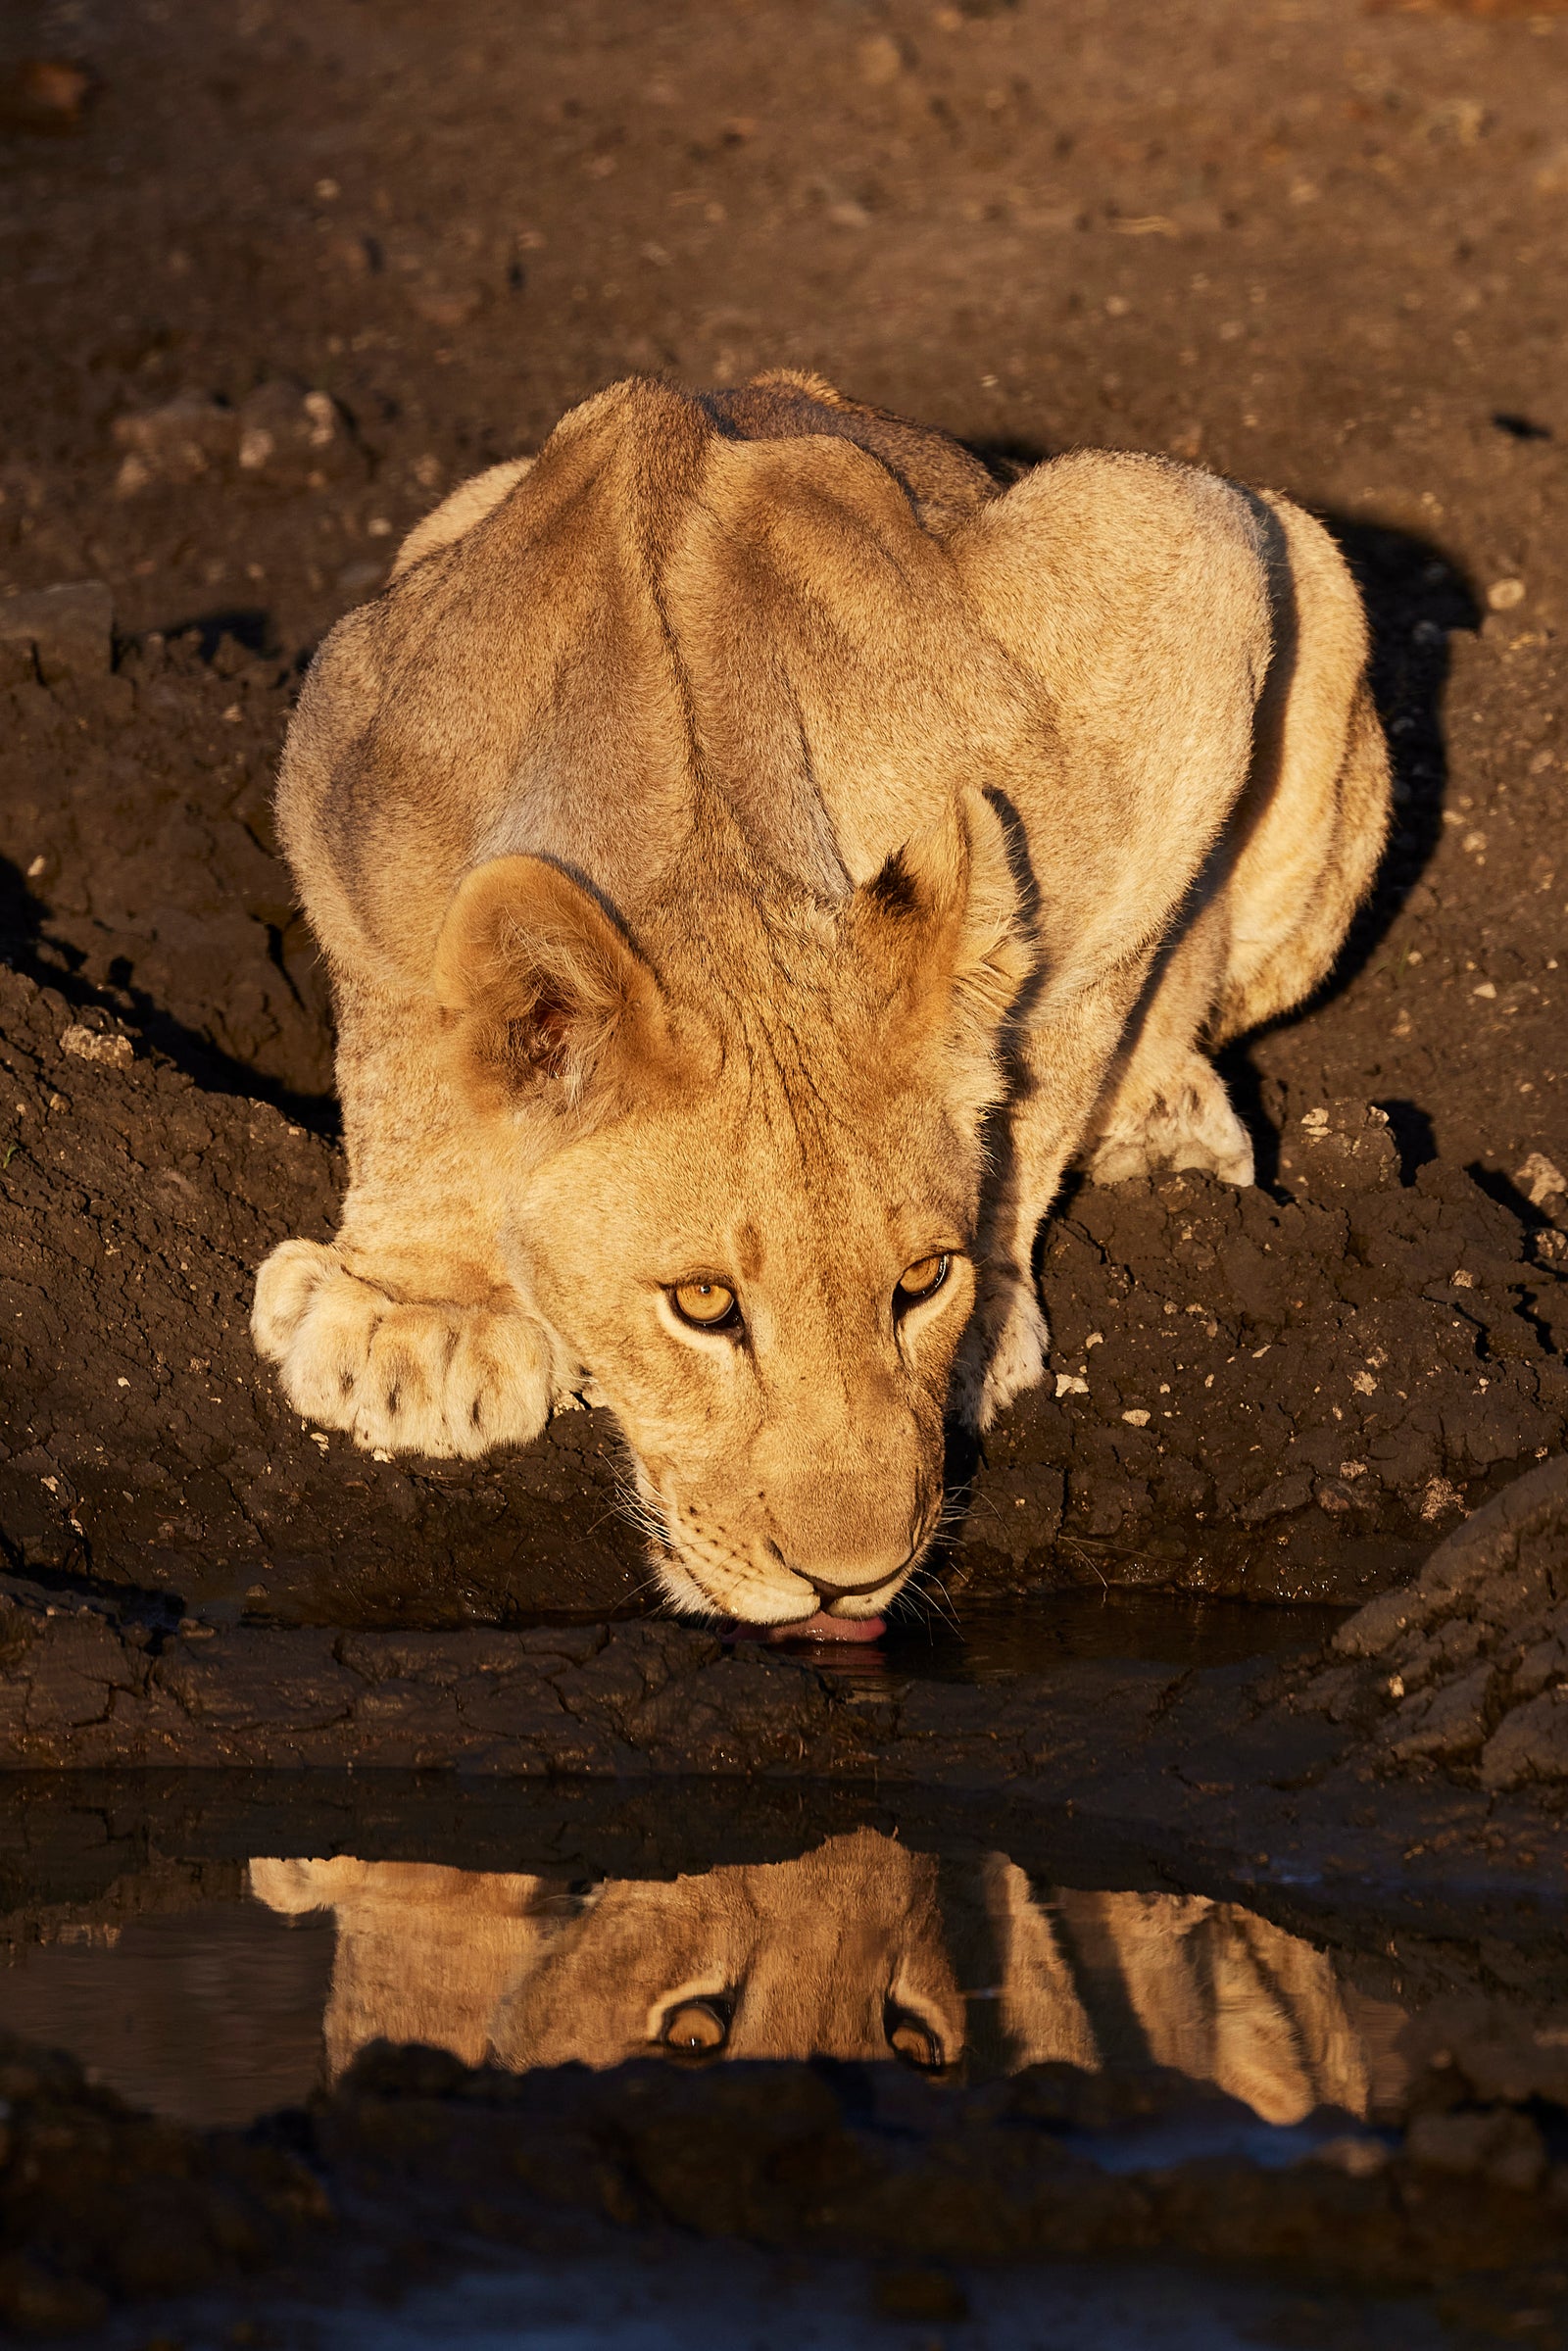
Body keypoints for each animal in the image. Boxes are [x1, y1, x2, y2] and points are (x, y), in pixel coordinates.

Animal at [251, 370, 1389, 1626]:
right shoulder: (349, 746)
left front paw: (993, 1314)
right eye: (703, 1302)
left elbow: (1061, 1037)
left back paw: (1163, 1116)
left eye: (920, 1280)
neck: (706, 818)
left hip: (1314, 596)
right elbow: (406, 1043)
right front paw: (423, 1311)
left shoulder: (1186, 564)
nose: (853, 1582)